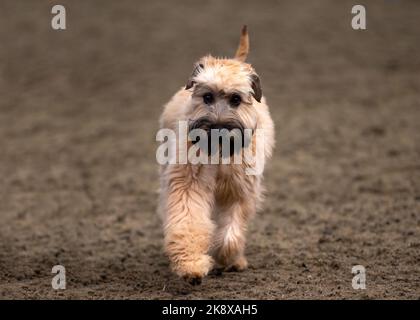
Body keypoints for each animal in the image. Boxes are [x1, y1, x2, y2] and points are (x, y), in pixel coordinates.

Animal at [159, 25, 274, 284]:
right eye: (207, 97)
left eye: (236, 99)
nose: (218, 128)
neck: (220, 153)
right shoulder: (188, 184)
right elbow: (188, 221)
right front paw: (191, 264)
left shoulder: (239, 190)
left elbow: (231, 232)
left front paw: (226, 257)